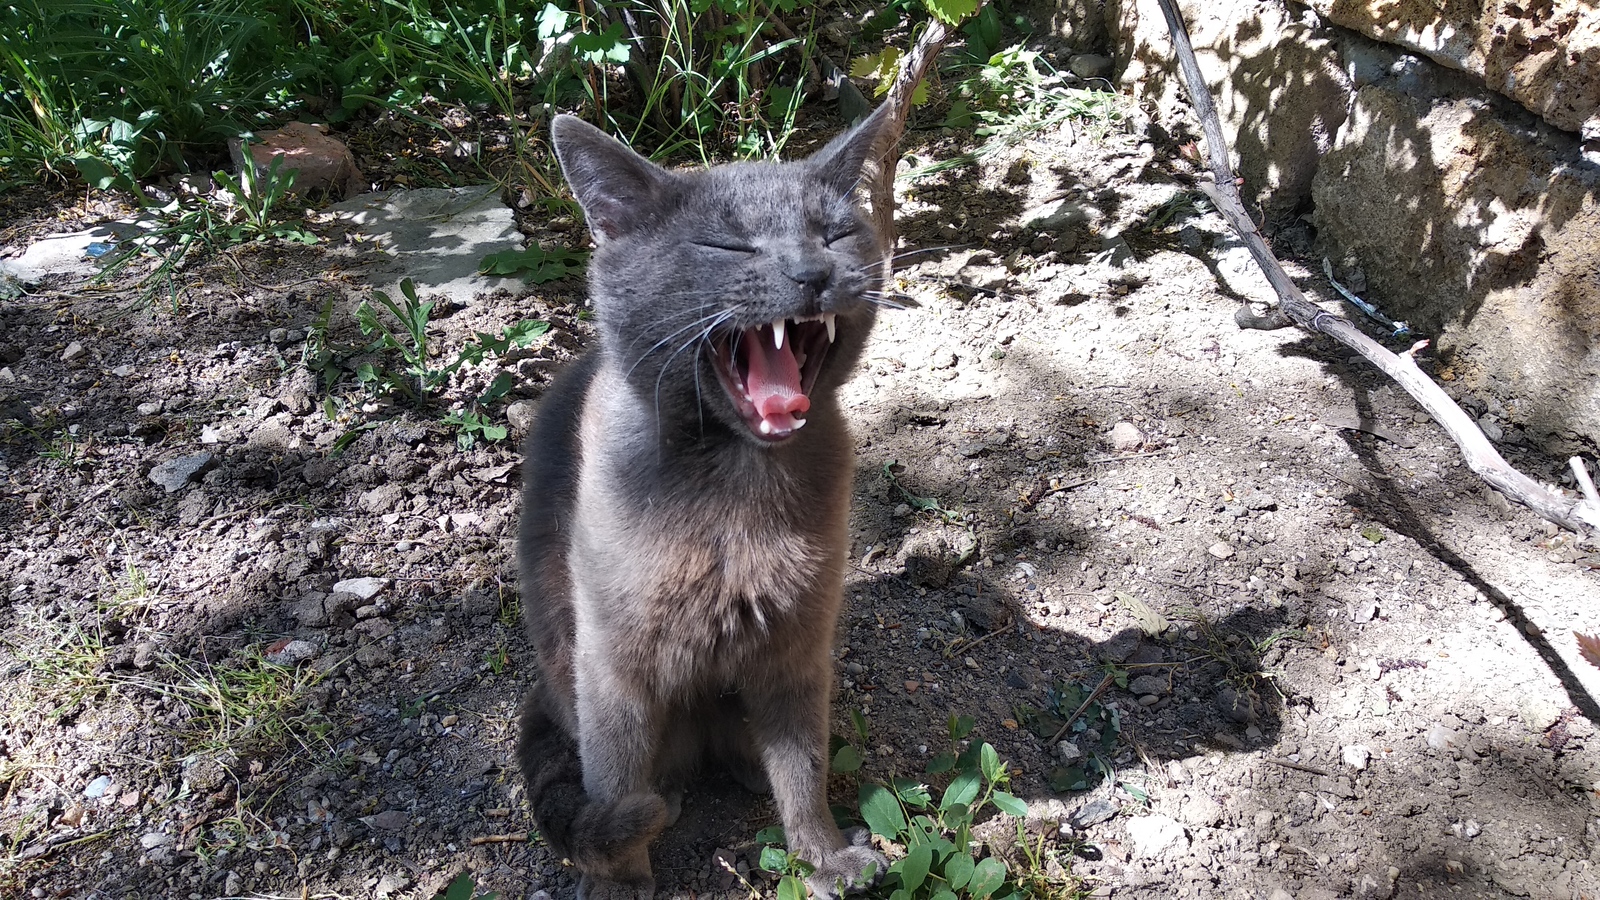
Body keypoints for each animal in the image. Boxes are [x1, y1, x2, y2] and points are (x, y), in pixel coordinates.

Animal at [518, 106, 902, 896]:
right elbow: (614, 781)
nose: (812, 272)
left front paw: (822, 856)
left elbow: (804, 764)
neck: (737, 494)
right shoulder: (612, 664)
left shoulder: (798, 646)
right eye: (726, 244)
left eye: (835, 233)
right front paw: (620, 884)